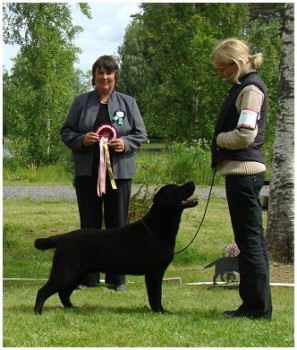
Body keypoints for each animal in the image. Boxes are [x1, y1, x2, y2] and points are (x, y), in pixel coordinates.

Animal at [34, 182, 197, 314]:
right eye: (176, 189)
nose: (191, 182)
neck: (157, 227)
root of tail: (62, 237)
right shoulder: (154, 273)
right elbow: (156, 296)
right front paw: (161, 311)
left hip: (77, 274)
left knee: (63, 293)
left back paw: (72, 308)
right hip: (65, 272)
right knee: (43, 291)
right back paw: (38, 312)